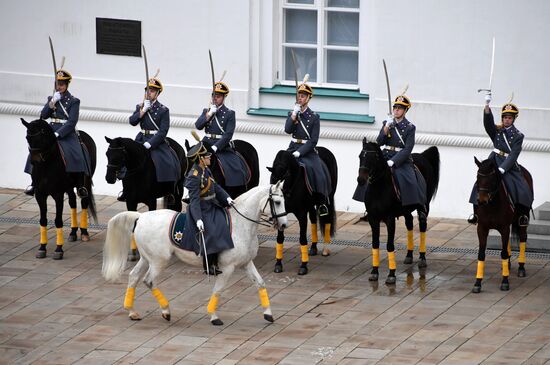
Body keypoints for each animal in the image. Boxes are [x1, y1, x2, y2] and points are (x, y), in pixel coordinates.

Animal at [21, 118, 98, 258]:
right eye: (27, 137)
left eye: (41, 137)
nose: (34, 161)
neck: (46, 166)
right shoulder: (40, 195)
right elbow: (43, 220)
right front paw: (42, 247)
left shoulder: (58, 194)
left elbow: (58, 220)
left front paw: (58, 249)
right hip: (68, 187)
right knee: (72, 202)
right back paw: (73, 232)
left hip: (85, 182)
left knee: (84, 201)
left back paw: (84, 233)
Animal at [102, 182, 288, 324]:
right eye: (277, 201)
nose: (284, 225)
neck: (241, 224)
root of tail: (141, 217)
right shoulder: (227, 268)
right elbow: (218, 290)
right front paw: (214, 316)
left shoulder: (246, 263)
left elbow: (260, 283)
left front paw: (268, 314)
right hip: (159, 261)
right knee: (149, 281)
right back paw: (166, 311)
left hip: (147, 259)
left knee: (133, 277)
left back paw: (132, 312)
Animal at [268, 146, 338, 274]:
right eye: (273, 178)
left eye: (284, 178)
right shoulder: (281, 214)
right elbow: (280, 238)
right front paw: (278, 264)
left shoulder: (301, 213)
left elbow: (302, 238)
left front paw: (303, 266)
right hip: (310, 204)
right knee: (313, 218)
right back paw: (314, 247)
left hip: (328, 197)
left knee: (327, 219)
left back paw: (325, 249)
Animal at [358, 139, 440, 284]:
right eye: (360, 156)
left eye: (373, 158)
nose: (360, 179)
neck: (379, 189)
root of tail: (422, 156)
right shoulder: (373, 219)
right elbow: (375, 244)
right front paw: (374, 272)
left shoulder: (390, 219)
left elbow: (390, 245)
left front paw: (391, 274)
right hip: (406, 209)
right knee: (409, 223)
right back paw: (409, 255)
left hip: (423, 206)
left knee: (422, 225)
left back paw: (422, 258)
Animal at [472, 155, 532, 292]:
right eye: (477, 177)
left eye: (491, 179)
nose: (481, 200)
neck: (492, 204)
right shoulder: (482, 228)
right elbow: (481, 254)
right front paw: (478, 282)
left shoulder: (504, 227)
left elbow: (503, 253)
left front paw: (505, 281)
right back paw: (508, 265)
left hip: (523, 219)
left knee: (522, 238)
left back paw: (521, 267)